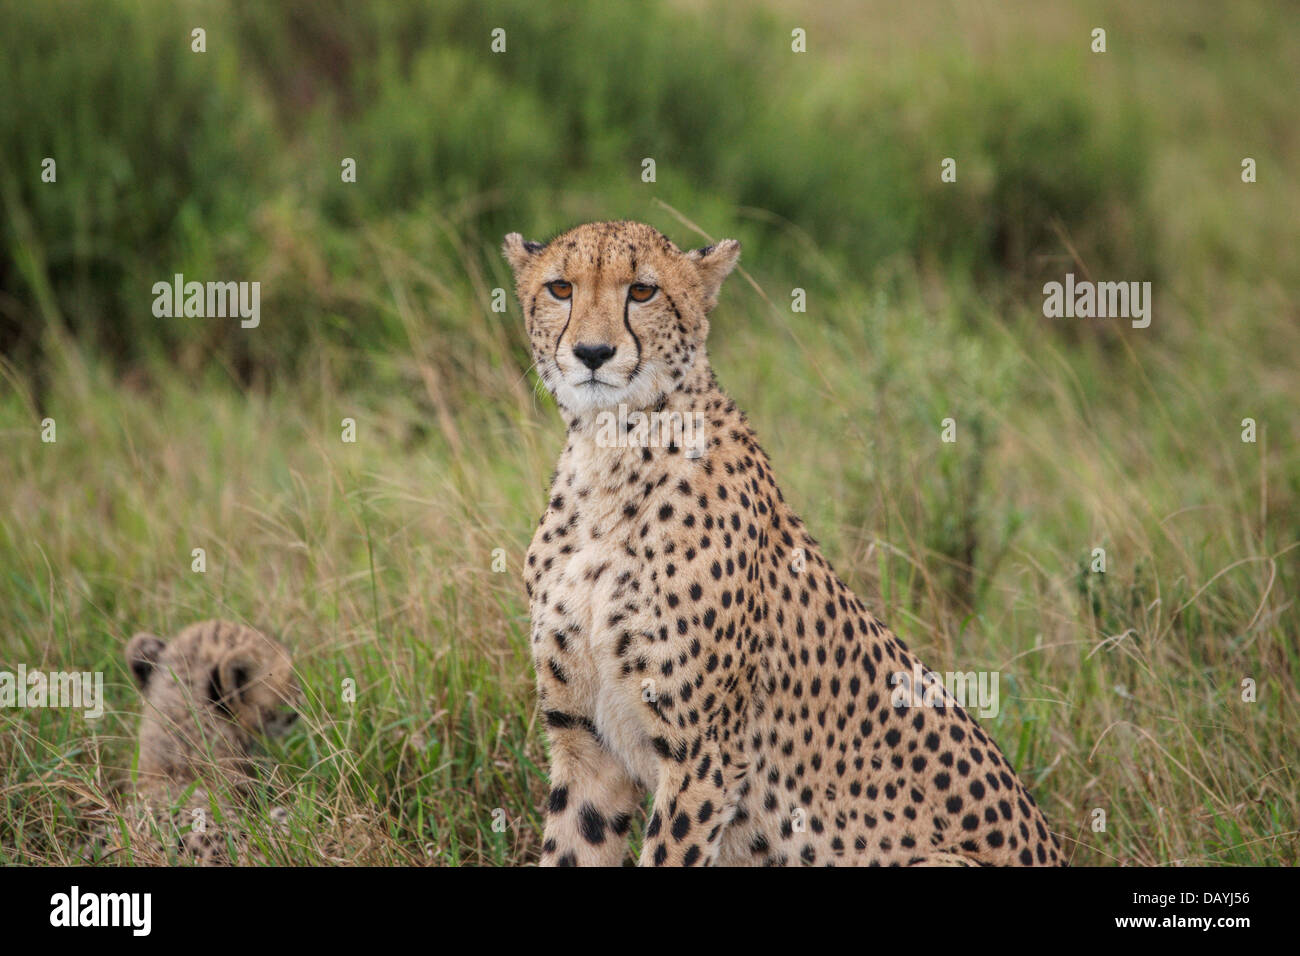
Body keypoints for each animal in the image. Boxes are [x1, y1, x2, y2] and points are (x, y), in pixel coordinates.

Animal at [501, 218, 1060, 868]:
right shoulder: (586, 742)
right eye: (561, 288)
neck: (610, 455)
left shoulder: (705, 755)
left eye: (642, 291)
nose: (592, 353)